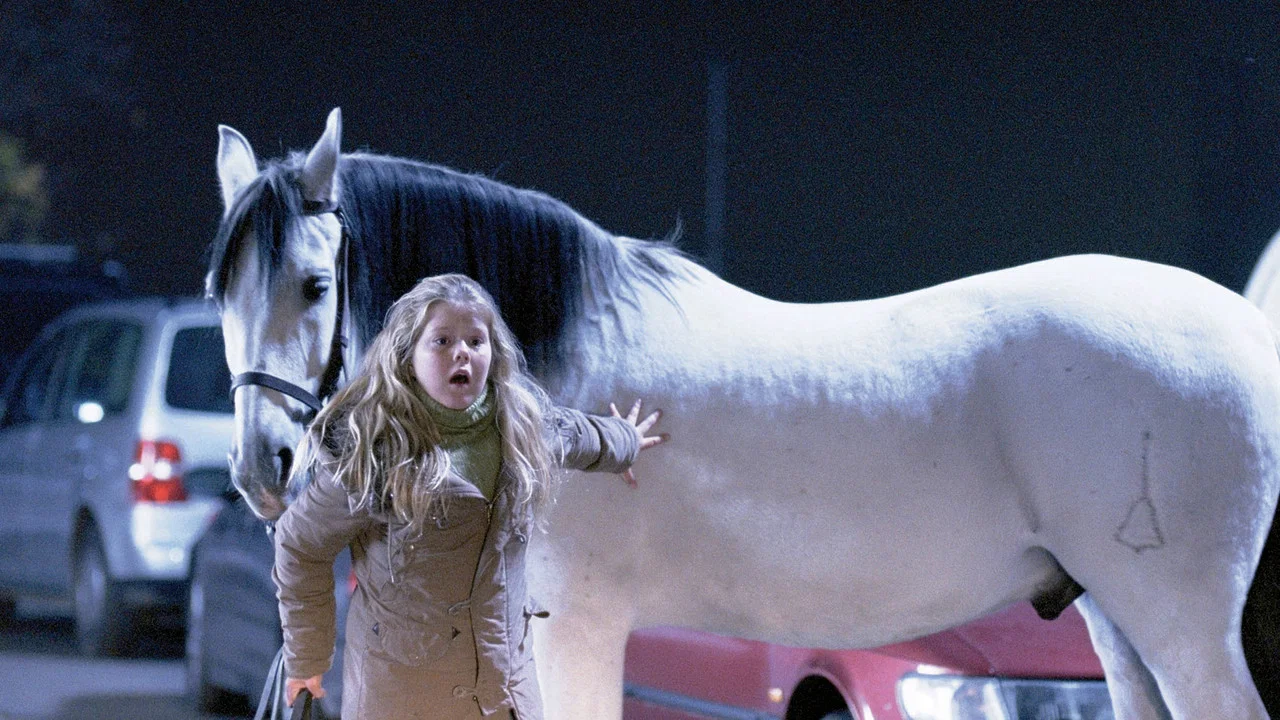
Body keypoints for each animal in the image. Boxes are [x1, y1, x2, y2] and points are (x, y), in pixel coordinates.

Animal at [208, 107, 1280, 720]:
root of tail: (1247, 330)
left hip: (1182, 625)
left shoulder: (577, 625)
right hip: (1117, 623)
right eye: (221, 292)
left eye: (314, 285)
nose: (263, 467)